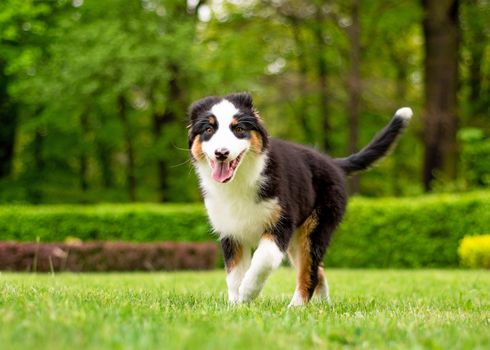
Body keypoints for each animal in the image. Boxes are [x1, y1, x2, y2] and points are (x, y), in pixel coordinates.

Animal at [188, 92, 414, 306]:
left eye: (238, 129)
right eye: (208, 130)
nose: (221, 153)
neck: (242, 179)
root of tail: (334, 163)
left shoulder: (282, 223)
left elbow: (263, 259)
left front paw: (247, 292)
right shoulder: (231, 232)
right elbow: (233, 274)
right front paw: (237, 305)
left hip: (315, 228)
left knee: (309, 272)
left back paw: (296, 307)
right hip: (299, 239)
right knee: (317, 270)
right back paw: (322, 305)